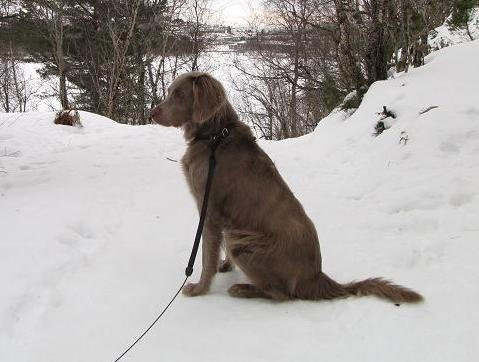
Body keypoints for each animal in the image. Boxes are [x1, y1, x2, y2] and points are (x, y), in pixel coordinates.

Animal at [151, 71, 424, 302]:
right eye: (170, 91)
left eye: (179, 94)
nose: (152, 113)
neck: (215, 136)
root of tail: (316, 277)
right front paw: (225, 265)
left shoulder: (209, 209)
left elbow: (206, 256)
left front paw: (199, 288)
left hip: (244, 241)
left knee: (280, 294)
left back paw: (243, 289)